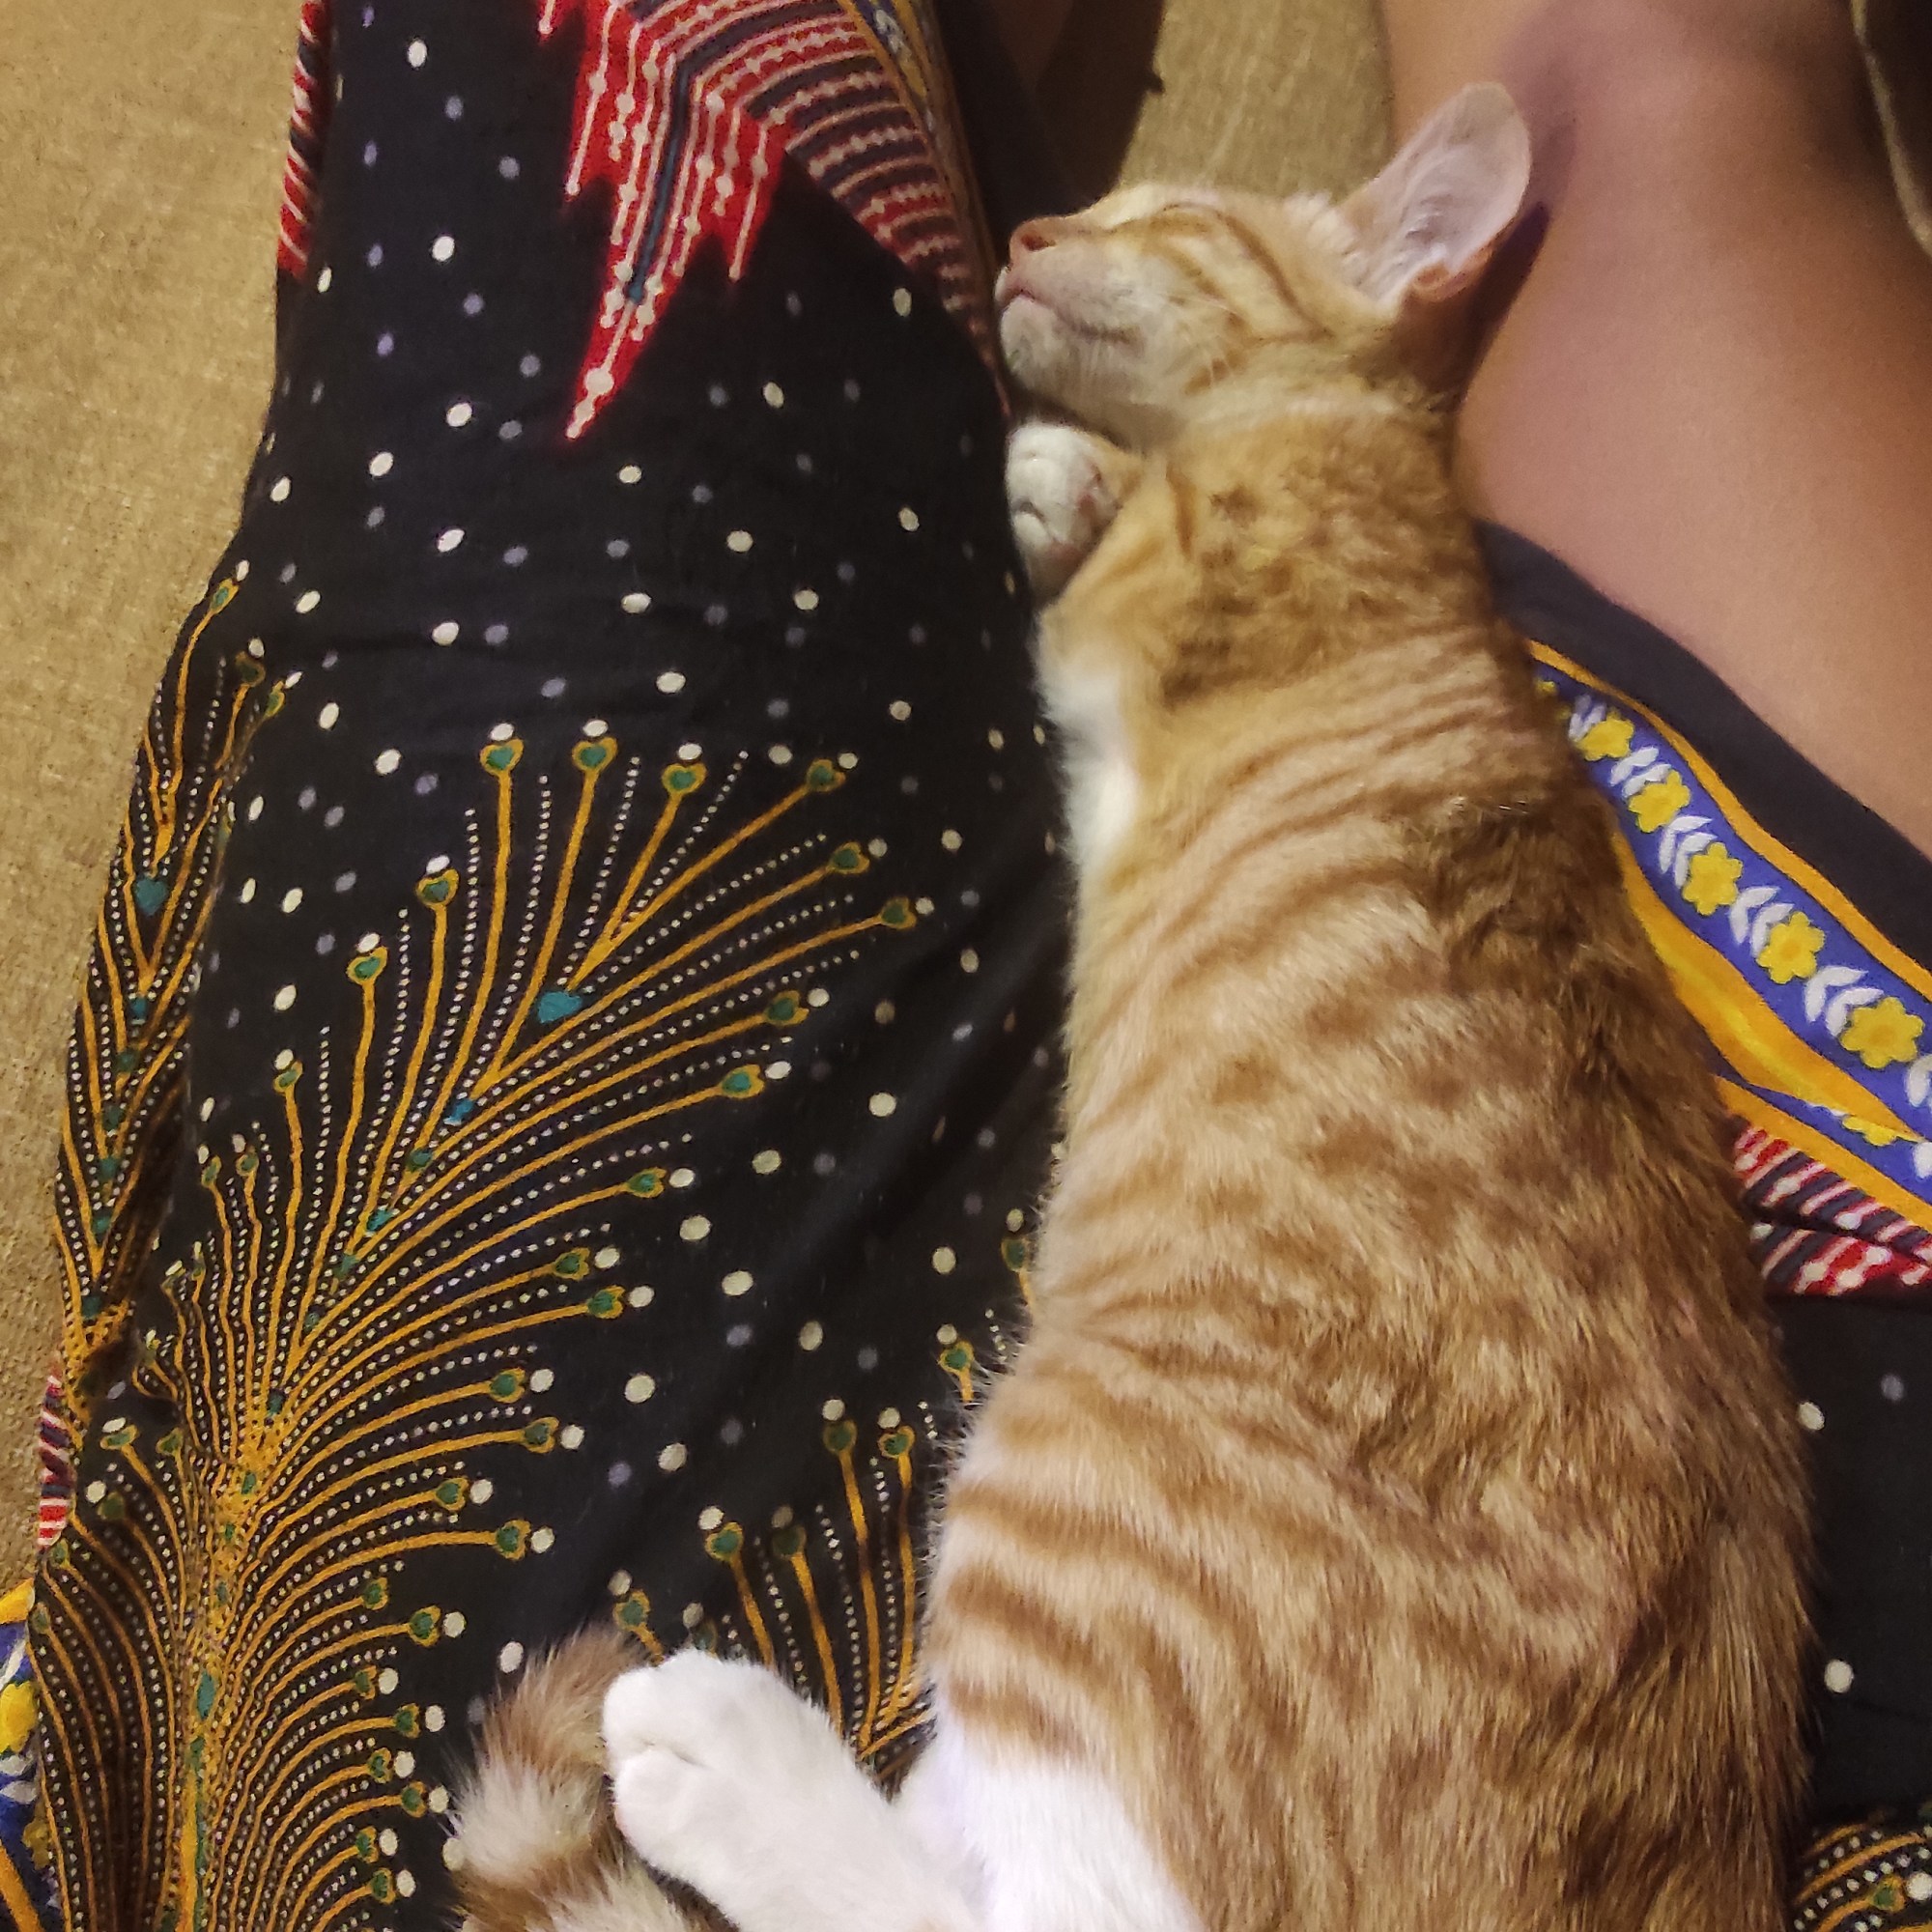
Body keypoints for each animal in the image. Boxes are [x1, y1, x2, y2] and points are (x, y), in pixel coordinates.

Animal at [454, 82, 1811, 1932]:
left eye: (1163, 211)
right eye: (1084, 208)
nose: (1027, 231)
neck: (1325, 440)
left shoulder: (1163, 597)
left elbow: (1112, 552)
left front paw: (1055, 475)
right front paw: (1066, 470)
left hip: (1059, 1485)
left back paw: (733, 1765)